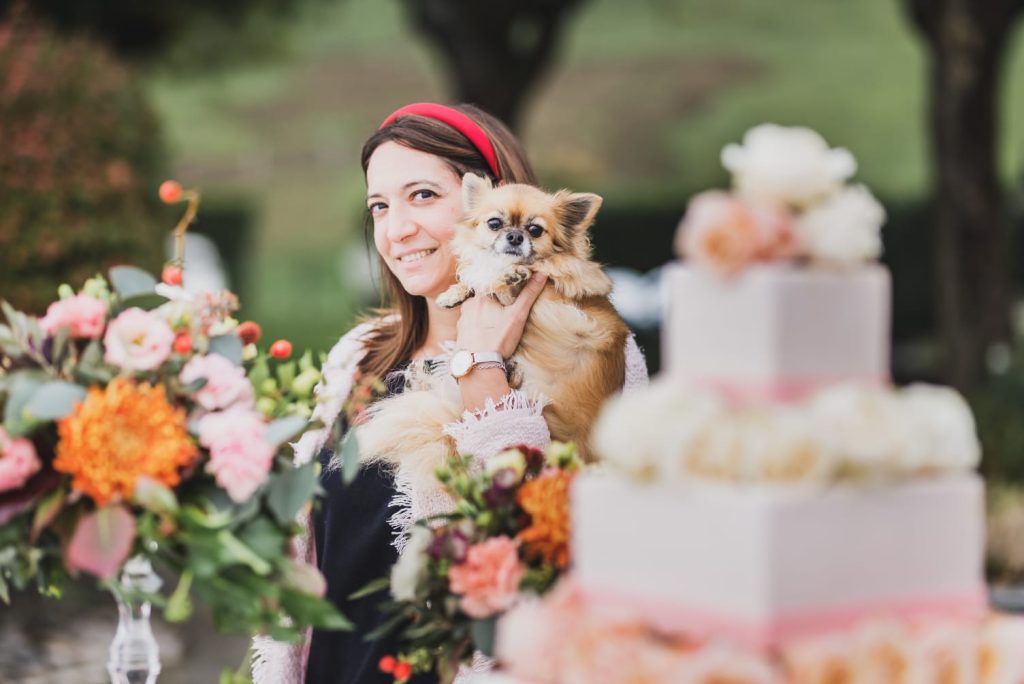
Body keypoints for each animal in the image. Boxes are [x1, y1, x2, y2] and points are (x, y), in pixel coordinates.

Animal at [358, 171, 630, 489]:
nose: (514, 236)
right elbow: (477, 273)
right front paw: (455, 293)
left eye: (535, 230)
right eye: (495, 224)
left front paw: (506, 276)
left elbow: (503, 274)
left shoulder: (552, 289)